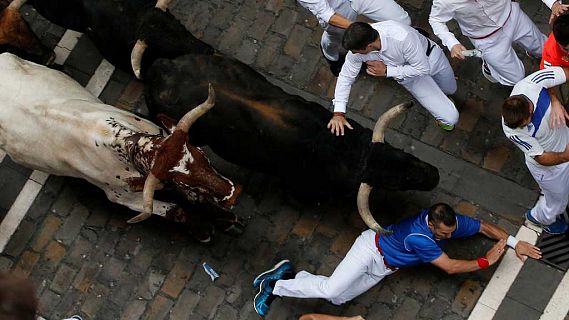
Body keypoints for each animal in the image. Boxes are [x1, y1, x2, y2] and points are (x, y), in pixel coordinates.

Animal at [0, 53, 241, 241]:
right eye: (181, 180)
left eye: (202, 155)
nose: (233, 194)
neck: (125, 145)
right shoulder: (124, 198)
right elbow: (176, 209)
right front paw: (202, 230)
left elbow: (193, 198)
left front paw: (225, 219)